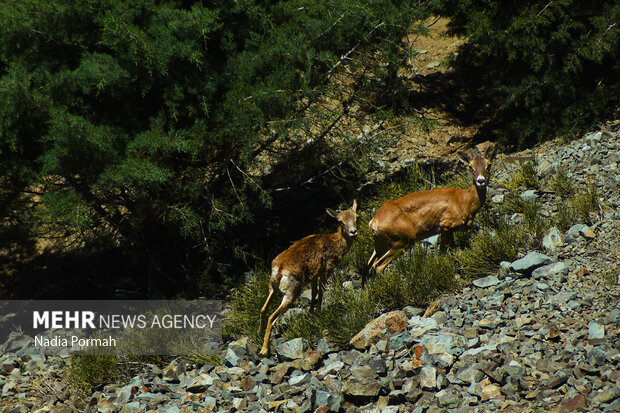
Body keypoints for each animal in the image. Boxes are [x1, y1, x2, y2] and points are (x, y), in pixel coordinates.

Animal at [260, 200, 360, 354]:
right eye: (340, 221)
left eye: (356, 217)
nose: (353, 231)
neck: (336, 243)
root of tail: (280, 269)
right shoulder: (326, 271)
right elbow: (321, 292)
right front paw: (318, 313)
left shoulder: (314, 276)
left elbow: (313, 293)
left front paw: (311, 313)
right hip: (291, 293)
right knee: (272, 317)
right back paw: (264, 350)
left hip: (273, 288)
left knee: (263, 310)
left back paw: (259, 334)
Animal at [366, 146, 496, 282]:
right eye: (471, 166)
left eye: (488, 164)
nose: (480, 181)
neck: (464, 201)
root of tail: (374, 222)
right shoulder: (447, 225)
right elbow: (448, 251)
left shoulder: (446, 230)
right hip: (401, 242)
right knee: (379, 266)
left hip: (380, 245)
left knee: (369, 265)